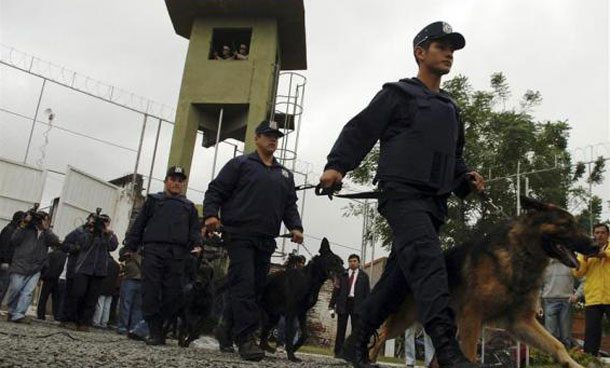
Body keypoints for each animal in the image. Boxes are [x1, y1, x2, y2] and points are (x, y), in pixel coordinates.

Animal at [203, 121, 302, 362]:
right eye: (268, 133)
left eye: (276, 135)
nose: (273, 139)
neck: (265, 162)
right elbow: (218, 187)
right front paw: (248, 345)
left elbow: (289, 202)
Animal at [318, 21, 484, 366]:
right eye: (440, 44)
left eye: (450, 46)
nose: (449, 54)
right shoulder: (387, 99)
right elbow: (361, 127)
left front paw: (470, 179)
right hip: (405, 208)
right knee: (414, 255)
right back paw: (357, 348)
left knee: (395, 272)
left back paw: (356, 345)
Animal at [368, 197, 596, 366]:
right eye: (565, 225)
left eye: (576, 224)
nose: (596, 246)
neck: (522, 253)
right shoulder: (472, 317)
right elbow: (470, 355)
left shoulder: (522, 322)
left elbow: (558, 345)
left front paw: (573, 364)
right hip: (403, 320)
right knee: (379, 337)